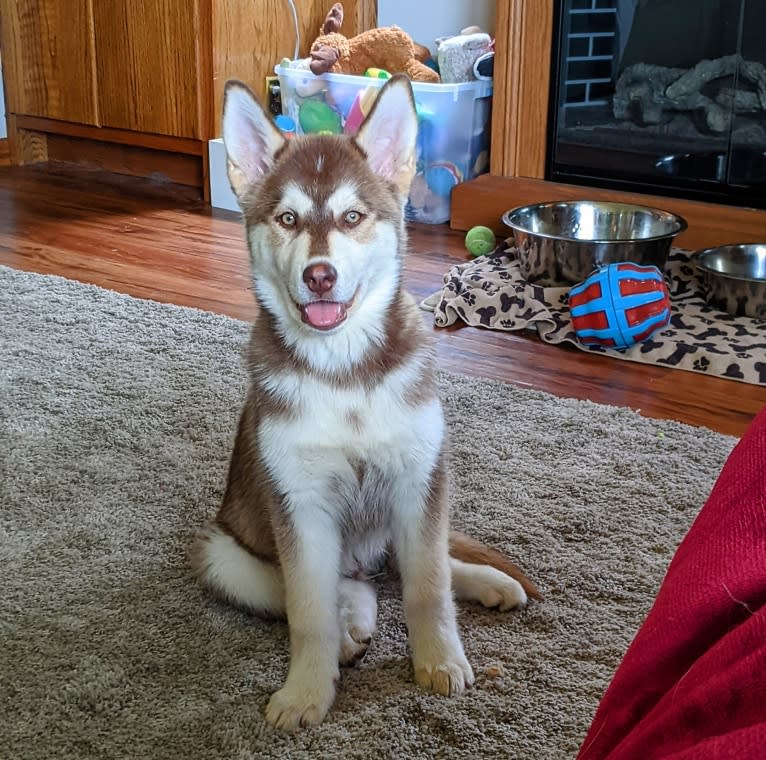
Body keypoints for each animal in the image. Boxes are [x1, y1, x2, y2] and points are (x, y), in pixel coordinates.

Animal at [192, 75, 540, 732]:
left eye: (352, 216)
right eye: (287, 218)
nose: (320, 276)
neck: (343, 371)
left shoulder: (420, 478)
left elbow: (428, 584)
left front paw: (440, 661)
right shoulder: (298, 502)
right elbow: (309, 609)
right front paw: (307, 690)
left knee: (412, 566)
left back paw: (485, 582)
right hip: (222, 555)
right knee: (341, 587)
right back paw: (354, 623)